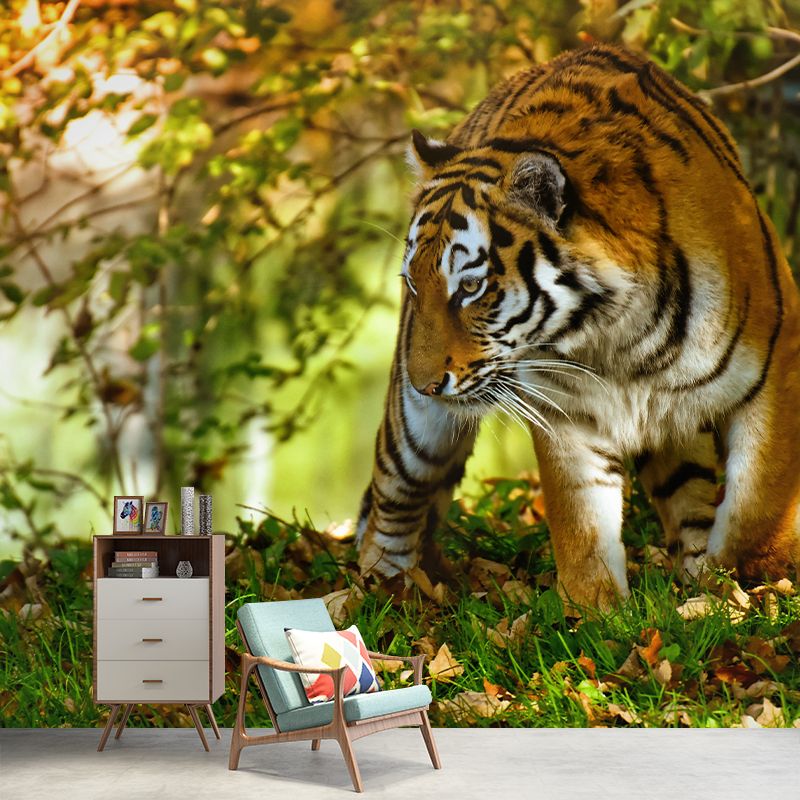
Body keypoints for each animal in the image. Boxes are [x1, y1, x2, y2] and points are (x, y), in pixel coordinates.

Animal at [355, 43, 800, 609]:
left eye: (470, 287)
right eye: (414, 282)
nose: (425, 383)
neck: (618, 336)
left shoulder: (777, 364)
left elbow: (759, 501)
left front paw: (747, 582)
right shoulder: (565, 411)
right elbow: (582, 525)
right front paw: (599, 613)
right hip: (414, 432)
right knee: (392, 501)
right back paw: (382, 592)